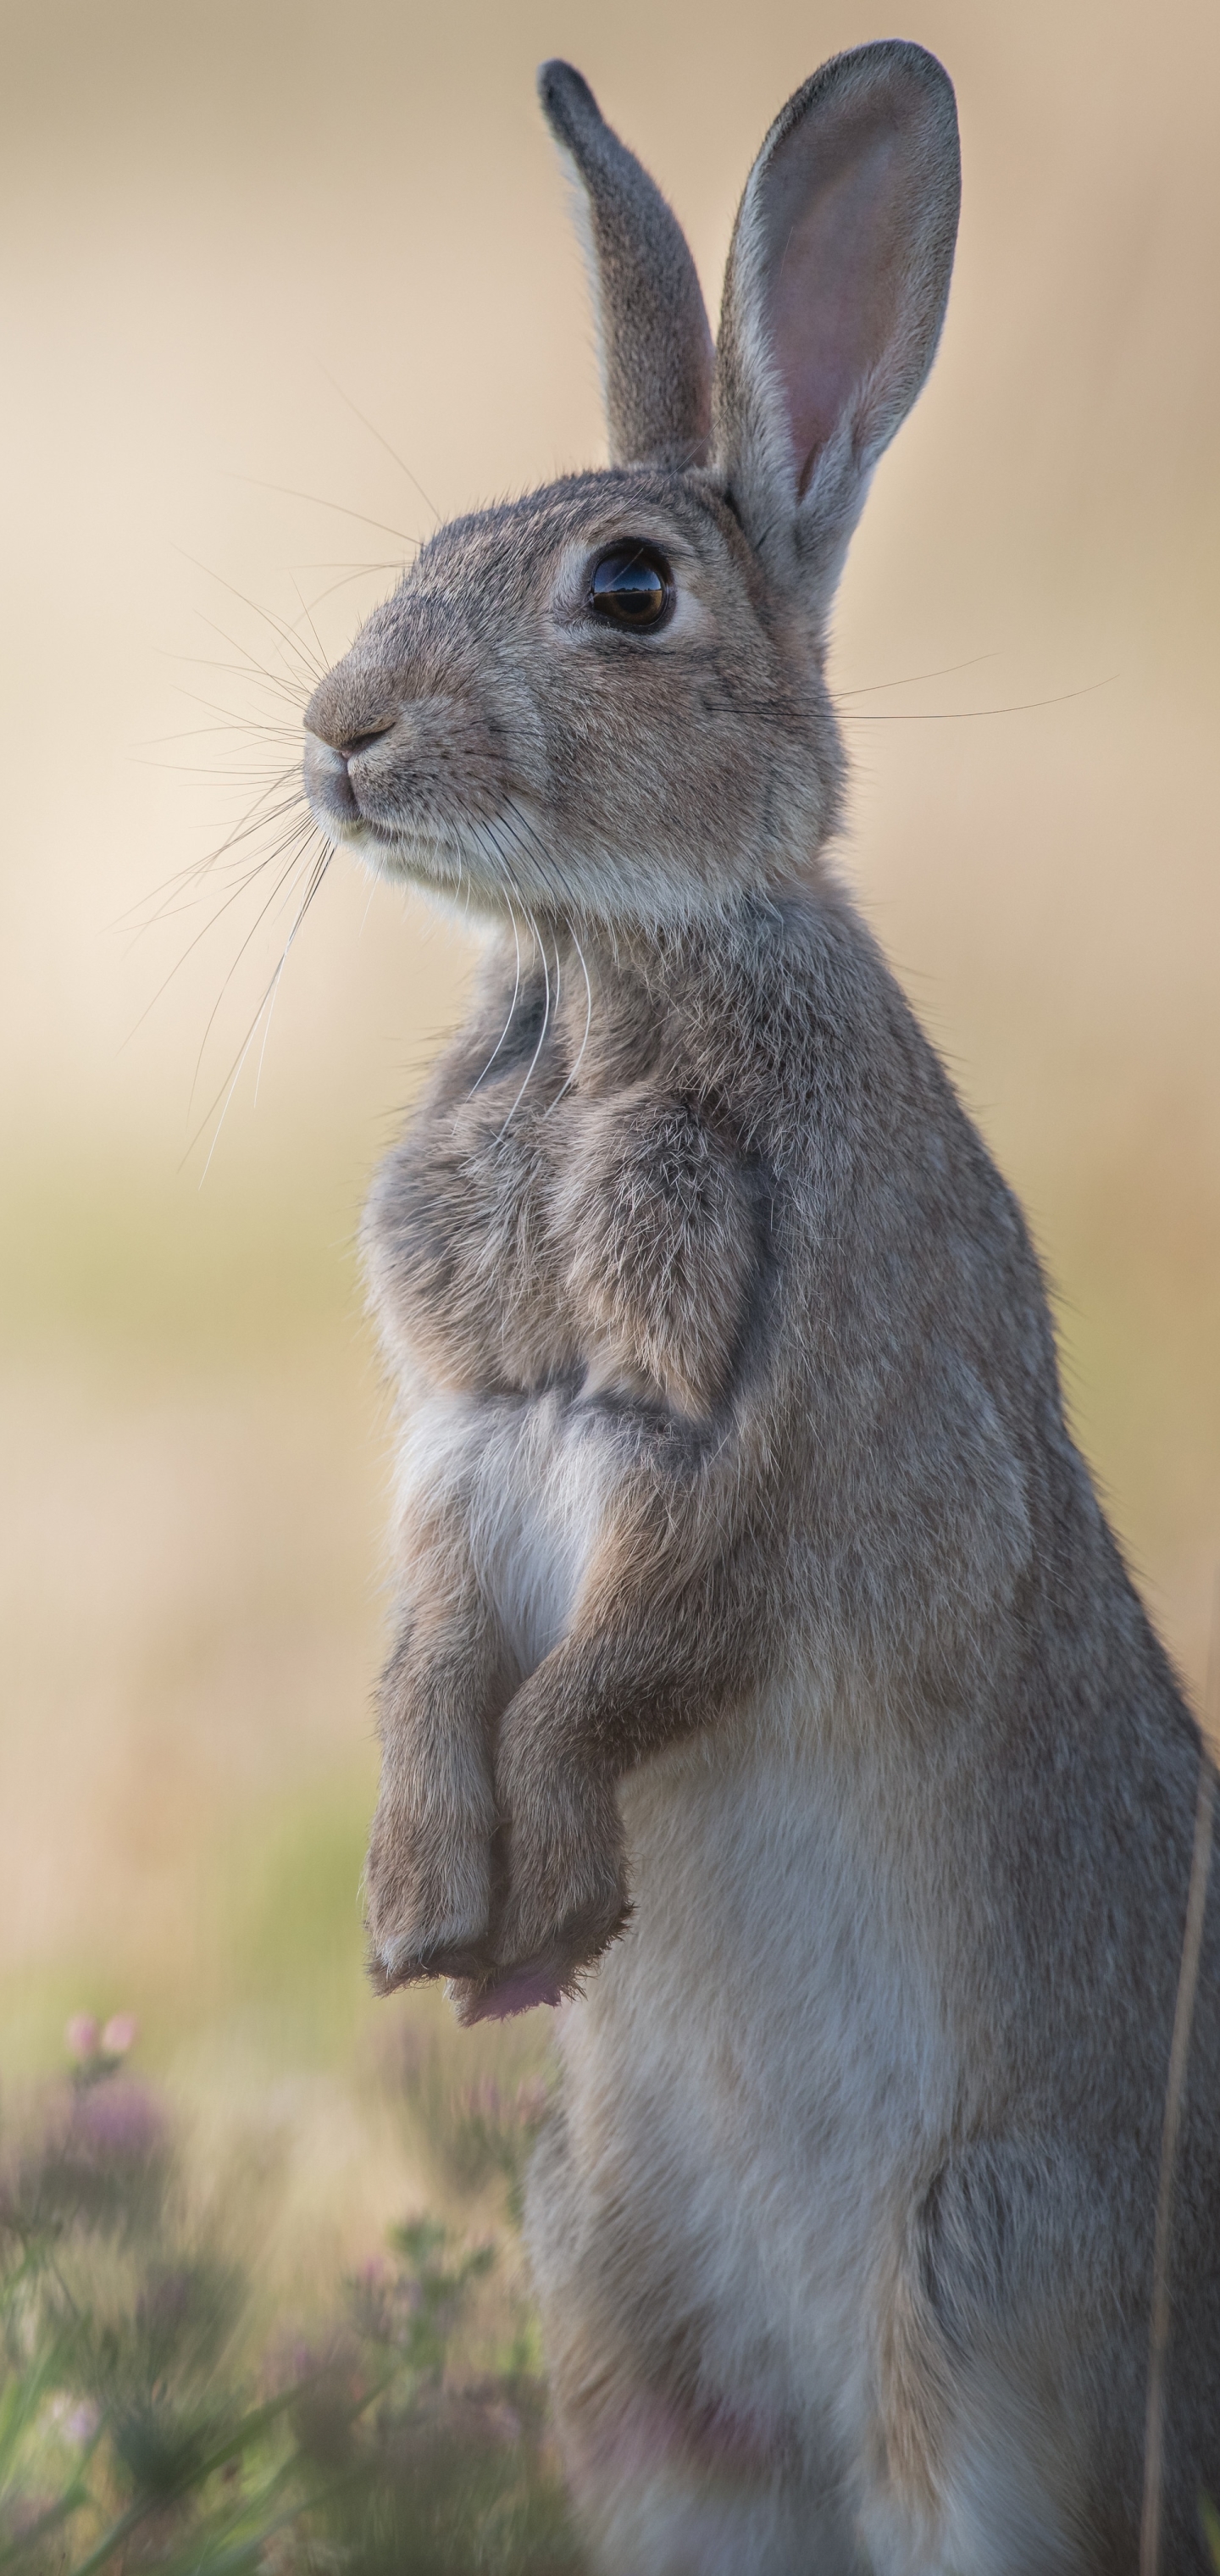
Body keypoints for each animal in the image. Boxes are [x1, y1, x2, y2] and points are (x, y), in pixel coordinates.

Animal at [299, 40, 1220, 2576]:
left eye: (629, 589)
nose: (339, 729)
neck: (611, 964)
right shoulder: (463, 1435)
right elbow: (430, 1644)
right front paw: (422, 1916)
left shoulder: (775, 1443)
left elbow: (633, 1660)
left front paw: (542, 1889)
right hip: (623, 2338)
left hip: (982, 2286)